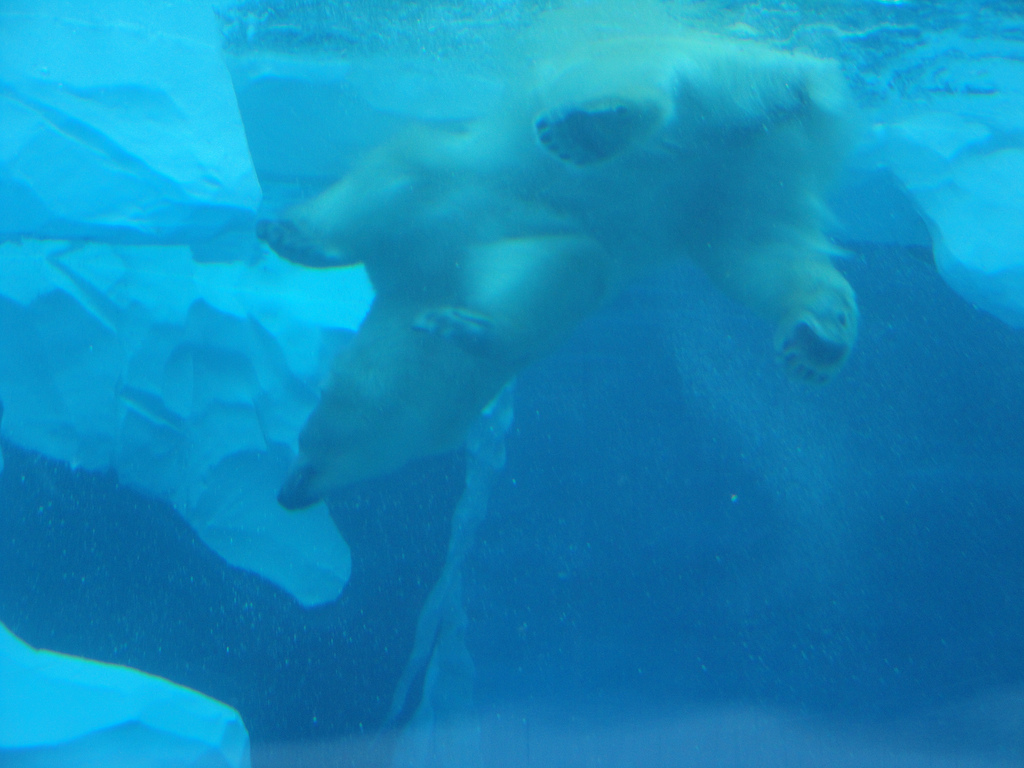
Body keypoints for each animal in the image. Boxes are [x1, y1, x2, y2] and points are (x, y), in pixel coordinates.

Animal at [260, 23, 859, 510]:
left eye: (305, 440)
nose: (287, 494)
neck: (426, 274)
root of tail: (800, 73)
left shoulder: (432, 193)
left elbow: (386, 182)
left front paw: (290, 235)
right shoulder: (494, 248)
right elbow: (569, 265)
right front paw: (463, 325)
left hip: (652, 61)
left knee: (650, 86)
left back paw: (589, 129)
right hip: (746, 176)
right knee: (765, 247)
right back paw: (818, 338)